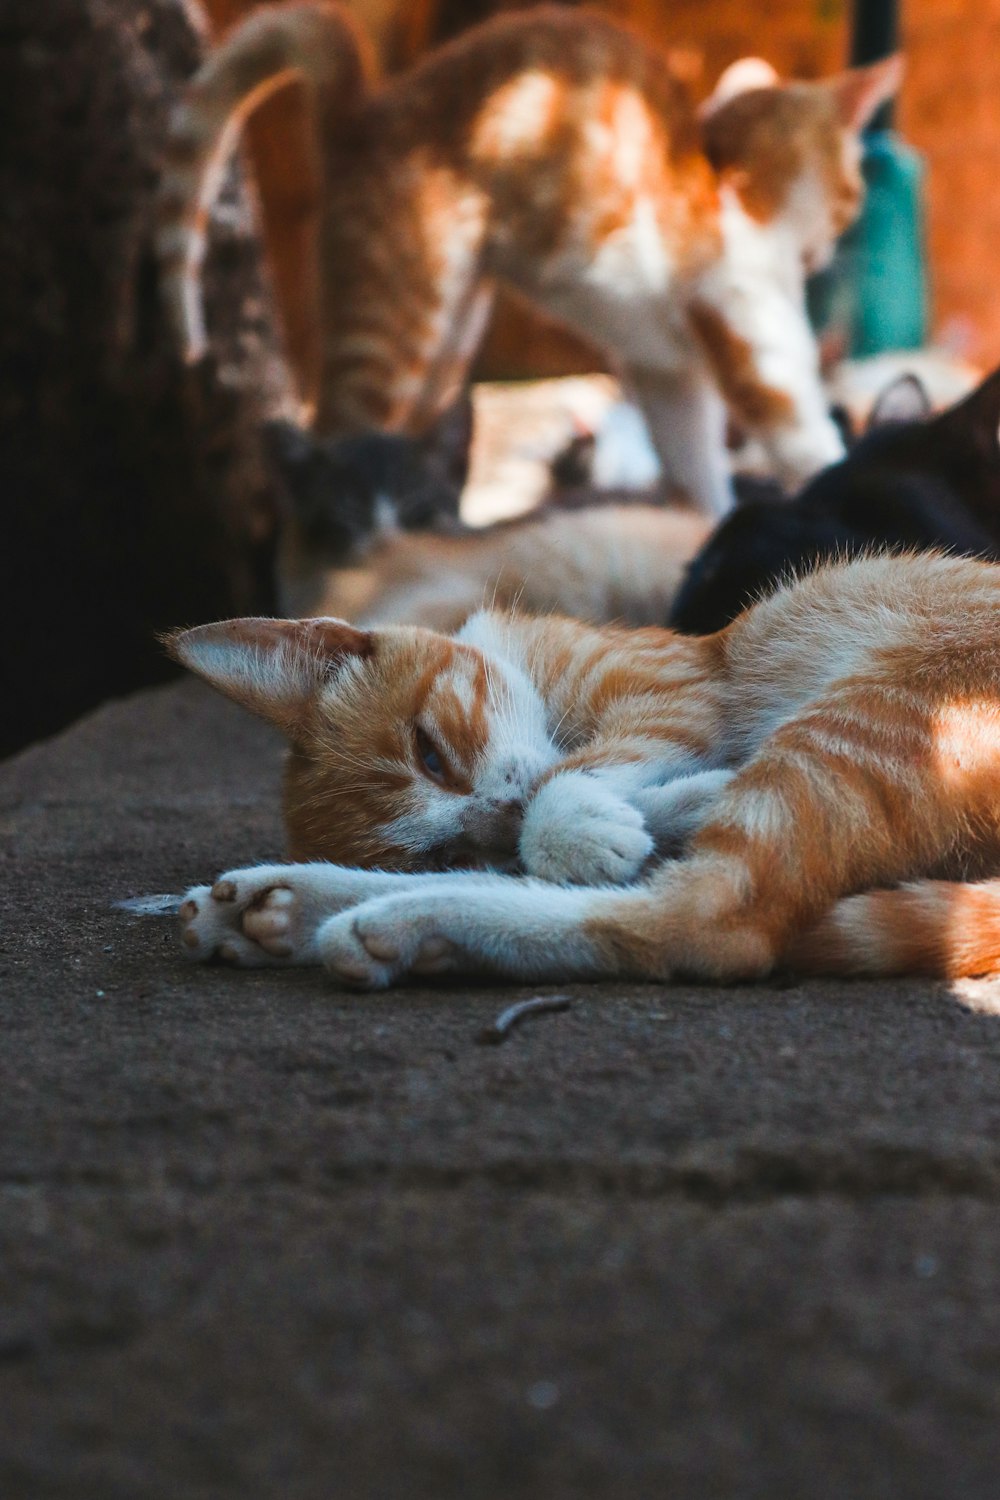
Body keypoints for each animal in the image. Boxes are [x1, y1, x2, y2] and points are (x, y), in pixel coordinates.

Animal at [156, 1, 899, 516]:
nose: (838, 231)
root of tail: (360, 112)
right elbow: (817, 453)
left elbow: (699, 478)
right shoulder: (758, 356)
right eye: (856, 192)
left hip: (448, 347)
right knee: (332, 450)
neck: (725, 183)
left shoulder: (669, 378)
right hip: (394, 333)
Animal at [172, 558, 1000, 990]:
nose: (499, 822)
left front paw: (582, 820)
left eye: (431, 752)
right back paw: (286, 908)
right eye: (446, 849)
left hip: (876, 713)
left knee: (707, 923)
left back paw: (399, 922)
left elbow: (578, 778)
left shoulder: (672, 689)